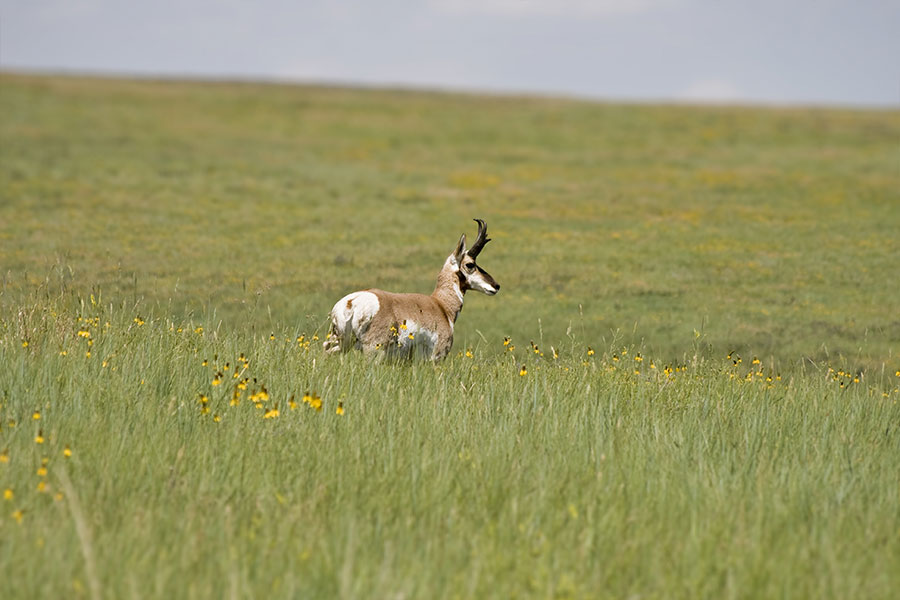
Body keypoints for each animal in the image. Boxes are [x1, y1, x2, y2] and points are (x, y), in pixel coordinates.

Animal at [326, 220, 500, 360]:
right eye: (470, 264)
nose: (496, 286)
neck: (441, 305)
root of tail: (352, 301)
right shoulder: (436, 357)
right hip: (373, 350)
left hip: (339, 344)